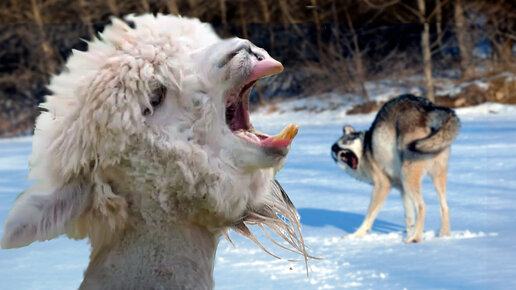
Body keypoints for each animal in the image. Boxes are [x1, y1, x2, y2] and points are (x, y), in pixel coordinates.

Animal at [332, 94, 462, 242]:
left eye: (344, 142)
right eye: (334, 151)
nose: (335, 149)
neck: (367, 148)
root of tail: (428, 107)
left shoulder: (382, 186)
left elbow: (369, 216)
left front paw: (356, 235)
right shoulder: (402, 189)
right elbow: (409, 217)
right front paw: (409, 231)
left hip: (409, 177)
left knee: (422, 206)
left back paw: (415, 238)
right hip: (435, 177)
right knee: (444, 207)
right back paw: (443, 236)